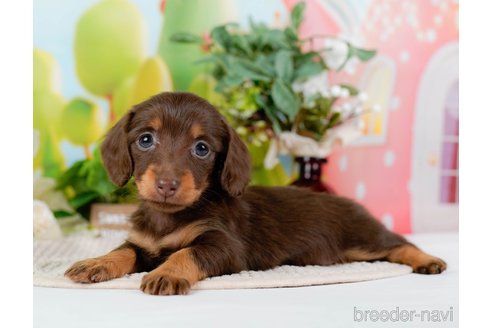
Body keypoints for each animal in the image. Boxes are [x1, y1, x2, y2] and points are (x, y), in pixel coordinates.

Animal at [64, 91, 446, 294]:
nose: (167, 185)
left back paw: (427, 260)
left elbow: (186, 253)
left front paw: (167, 273)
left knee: (399, 244)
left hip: (364, 238)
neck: (169, 218)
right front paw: (96, 263)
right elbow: (122, 252)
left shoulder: (224, 247)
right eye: (145, 139)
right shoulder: (142, 243)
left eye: (202, 148)